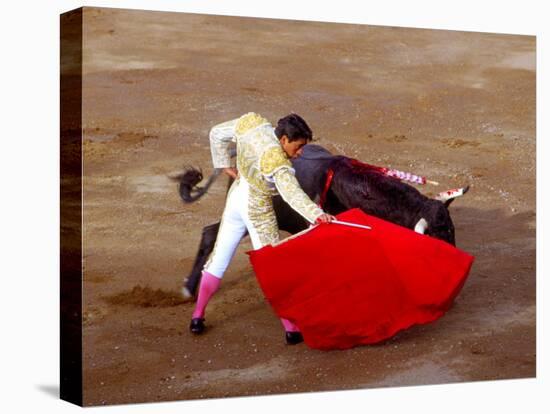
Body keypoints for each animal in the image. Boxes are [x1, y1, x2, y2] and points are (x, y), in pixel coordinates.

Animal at [179, 144, 464, 296]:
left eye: (451, 231)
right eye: (436, 241)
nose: (457, 276)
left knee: (210, 232)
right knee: (212, 234)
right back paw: (190, 288)